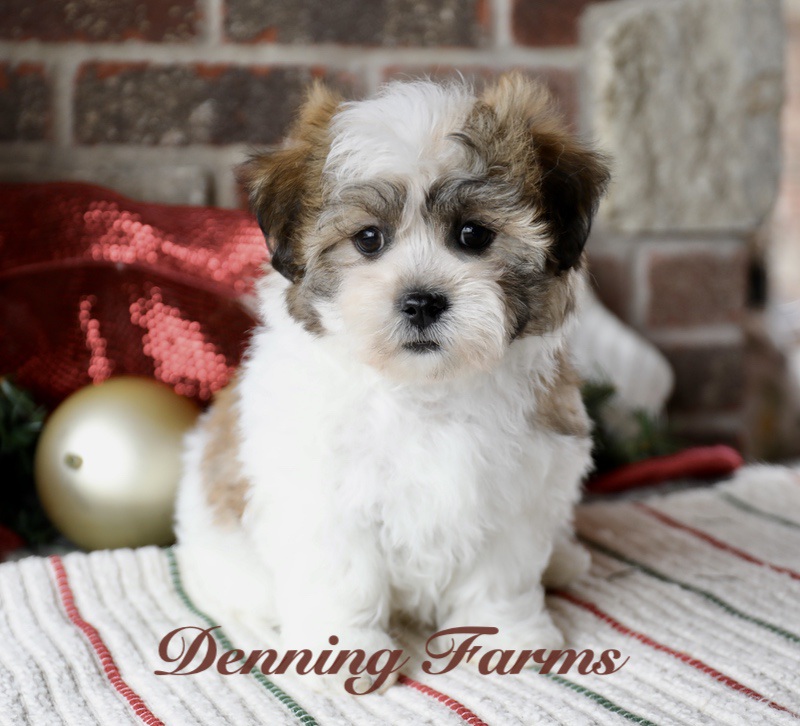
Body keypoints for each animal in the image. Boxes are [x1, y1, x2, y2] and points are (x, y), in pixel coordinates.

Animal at [175, 73, 609, 693]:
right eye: (368, 239)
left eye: (474, 234)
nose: (422, 301)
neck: (423, 389)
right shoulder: (323, 495)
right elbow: (341, 574)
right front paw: (342, 653)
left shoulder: (517, 488)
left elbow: (500, 573)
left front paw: (507, 638)